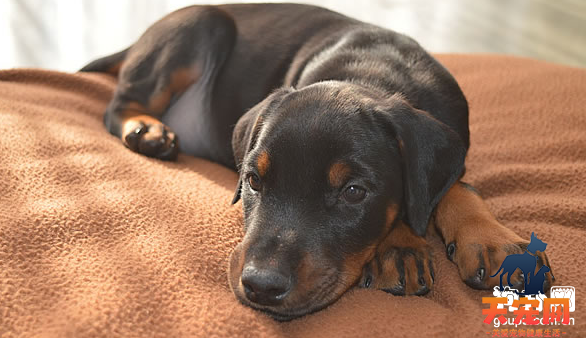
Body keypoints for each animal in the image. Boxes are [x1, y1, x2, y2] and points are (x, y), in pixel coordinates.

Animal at [82, 3, 552, 320]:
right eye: (253, 180)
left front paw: (492, 240)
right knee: (118, 104)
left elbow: (451, 185)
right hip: (200, 26)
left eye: (354, 192)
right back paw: (147, 130)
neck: (374, 74)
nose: (261, 286)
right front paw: (401, 245)